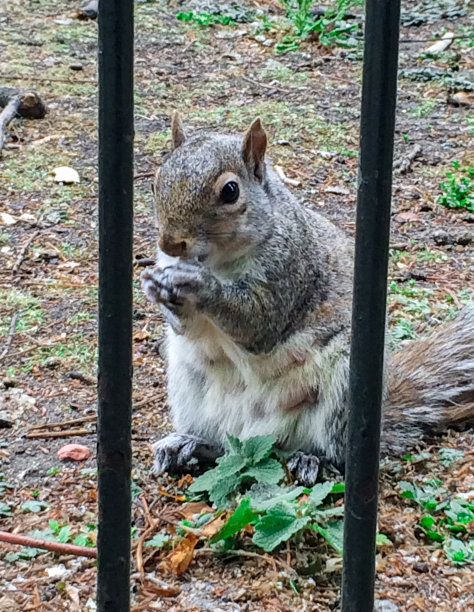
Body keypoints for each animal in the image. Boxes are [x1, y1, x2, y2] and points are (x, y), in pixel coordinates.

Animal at [142, 112, 474, 486]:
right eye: (156, 181)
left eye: (230, 191)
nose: (170, 243)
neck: (217, 261)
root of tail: (258, 429)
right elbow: (189, 329)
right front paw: (155, 288)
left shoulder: (290, 269)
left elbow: (259, 323)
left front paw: (199, 285)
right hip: (189, 382)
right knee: (225, 450)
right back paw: (190, 444)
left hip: (344, 387)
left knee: (330, 451)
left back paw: (313, 460)